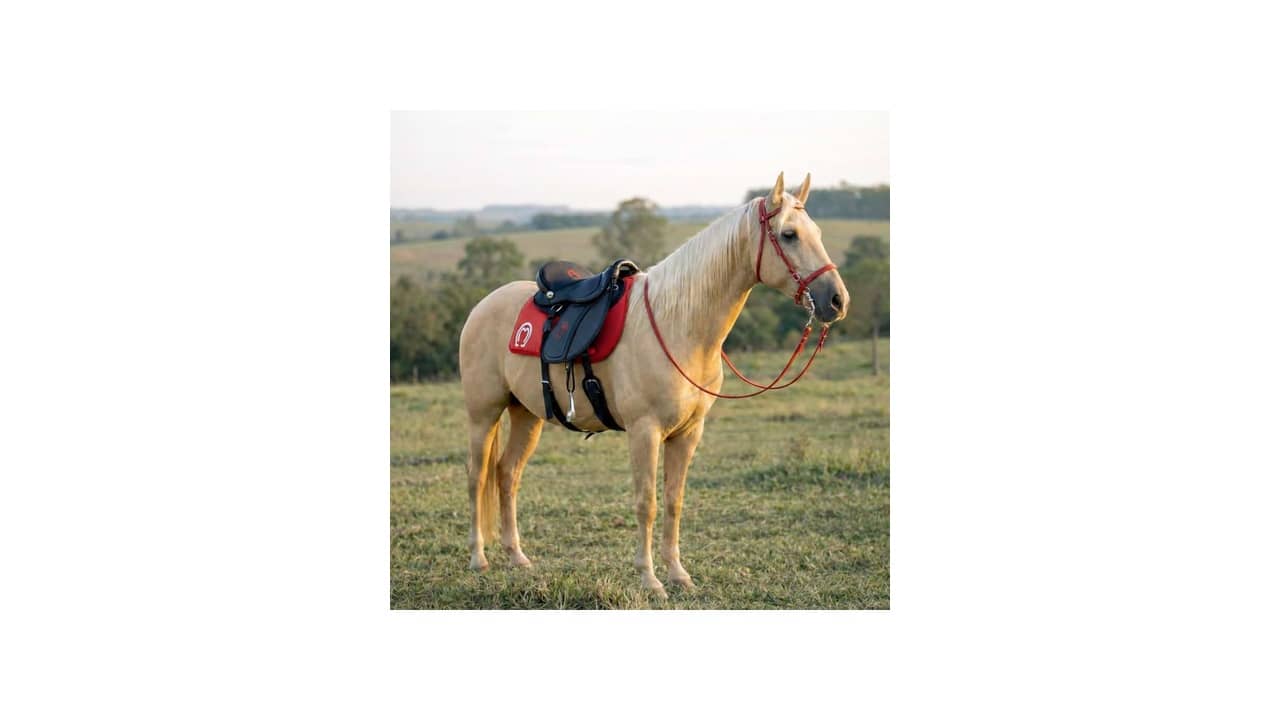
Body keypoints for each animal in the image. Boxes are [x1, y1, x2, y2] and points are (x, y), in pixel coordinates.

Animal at [457, 172, 849, 598]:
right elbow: (647, 503)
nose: (837, 300)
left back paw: (517, 557)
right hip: (483, 415)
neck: (677, 324)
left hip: (526, 415)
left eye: (817, 232)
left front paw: (678, 574)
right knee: (477, 476)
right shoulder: (645, 431)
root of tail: (481, 306)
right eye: (789, 234)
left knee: (507, 474)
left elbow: (674, 501)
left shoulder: (688, 433)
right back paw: (478, 558)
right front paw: (650, 579)